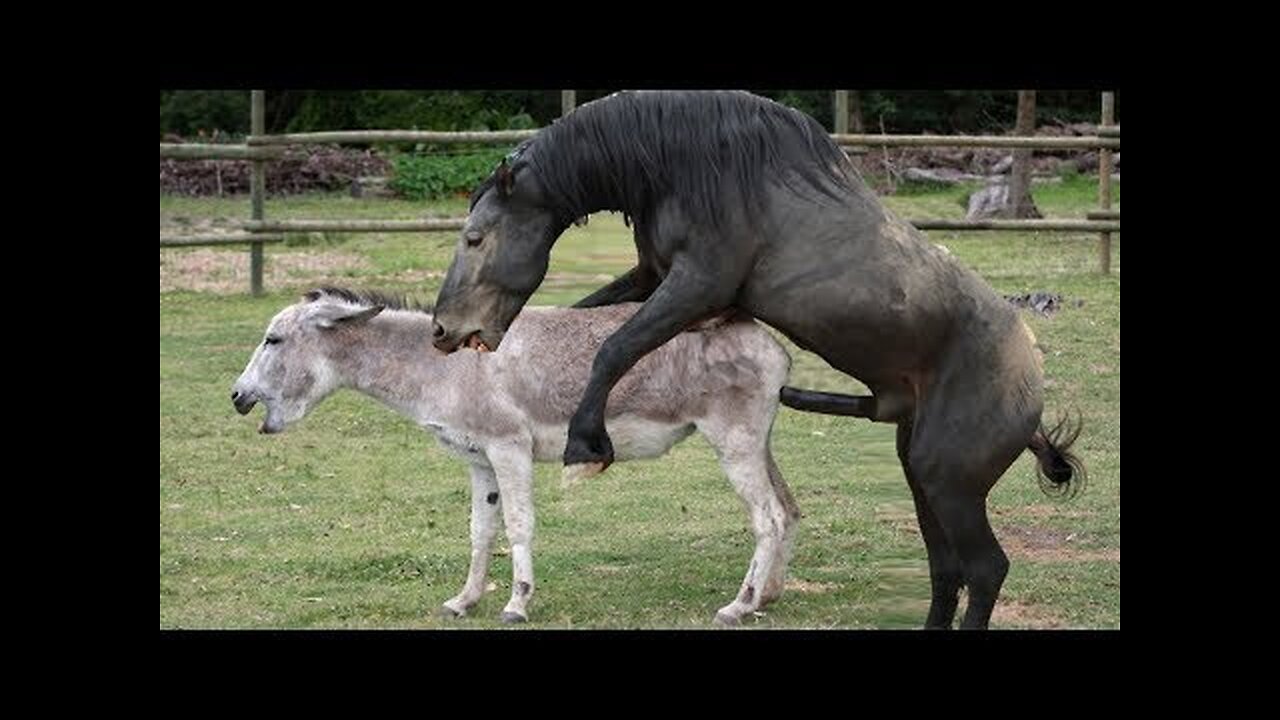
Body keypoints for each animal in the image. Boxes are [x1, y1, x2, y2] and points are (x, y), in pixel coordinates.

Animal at [430, 89, 1080, 627]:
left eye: (474, 238)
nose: (443, 331)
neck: (683, 166)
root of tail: (1032, 392)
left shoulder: (696, 286)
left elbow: (614, 347)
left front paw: (587, 446)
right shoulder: (653, 278)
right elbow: (589, 319)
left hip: (950, 484)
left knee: (985, 569)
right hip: (922, 476)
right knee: (947, 570)